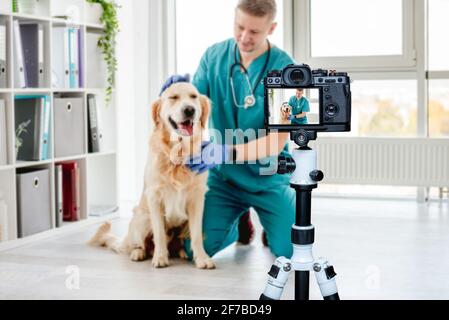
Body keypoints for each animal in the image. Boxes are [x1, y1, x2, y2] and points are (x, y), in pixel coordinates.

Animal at [88, 83, 214, 270]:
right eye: (173, 97)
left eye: (193, 97)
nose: (189, 110)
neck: (178, 154)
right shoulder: (155, 198)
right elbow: (159, 234)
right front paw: (160, 258)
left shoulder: (197, 199)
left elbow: (197, 235)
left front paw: (202, 258)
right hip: (142, 218)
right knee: (142, 244)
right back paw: (139, 253)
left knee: (178, 241)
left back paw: (182, 253)